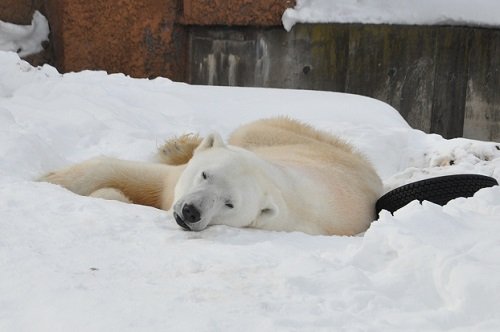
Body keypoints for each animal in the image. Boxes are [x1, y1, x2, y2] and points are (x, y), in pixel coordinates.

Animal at [41, 118, 382, 235]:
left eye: (229, 204)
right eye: (205, 174)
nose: (191, 211)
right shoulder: (178, 183)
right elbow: (147, 179)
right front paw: (49, 181)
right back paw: (178, 146)